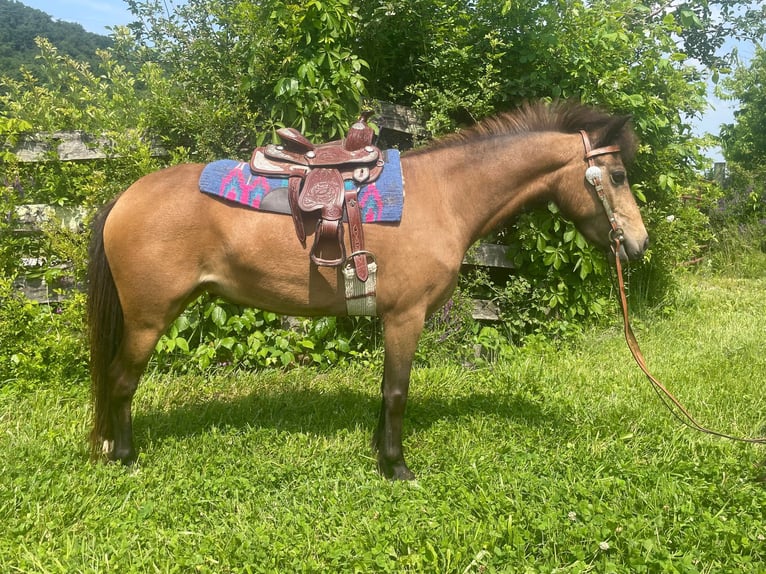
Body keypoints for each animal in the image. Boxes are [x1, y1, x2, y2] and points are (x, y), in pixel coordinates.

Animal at [87, 102, 652, 482]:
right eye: (618, 175)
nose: (639, 243)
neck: (444, 195)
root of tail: (126, 197)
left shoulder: (392, 317)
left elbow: (386, 390)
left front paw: (382, 452)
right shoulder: (407, 315)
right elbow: (398, 391)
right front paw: (397, 467)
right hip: (148, 317)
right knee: (121, 380)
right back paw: (124, 456)